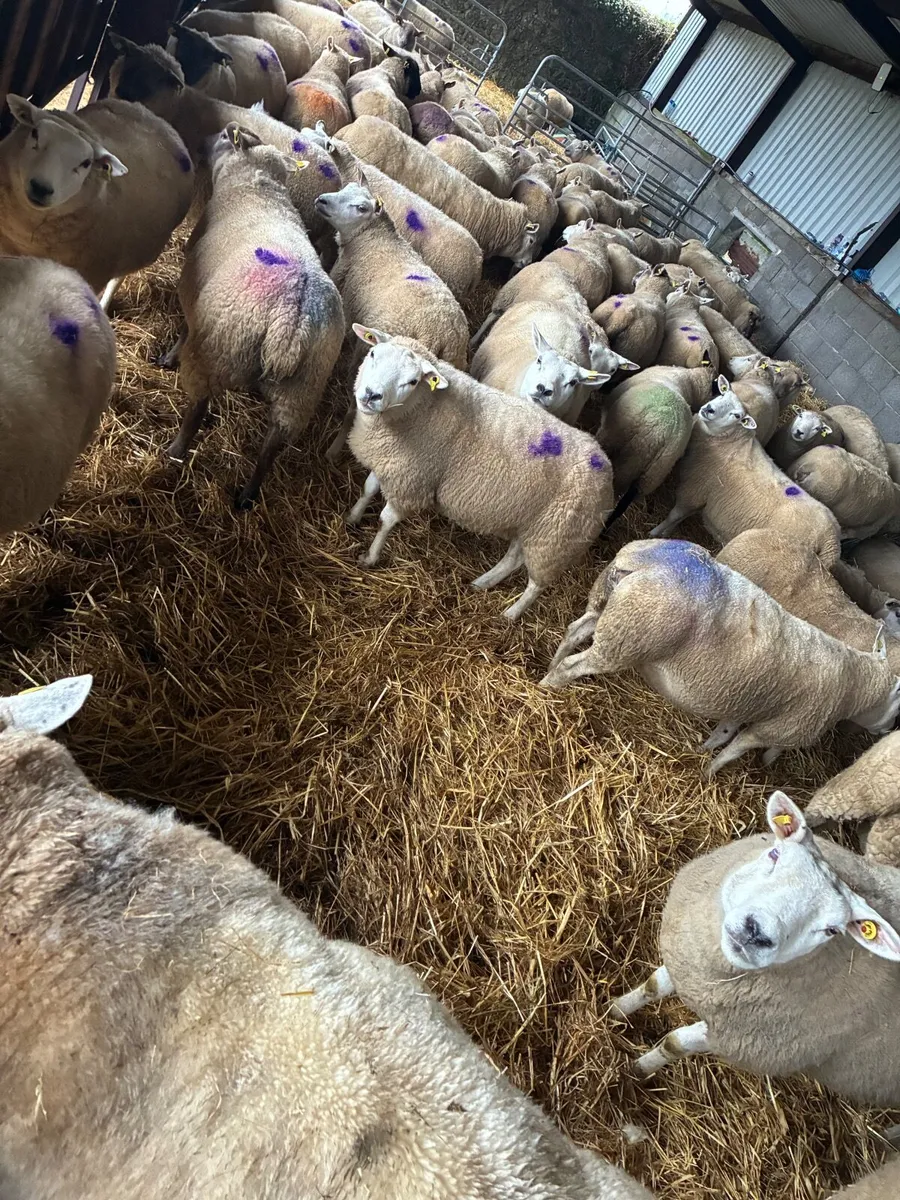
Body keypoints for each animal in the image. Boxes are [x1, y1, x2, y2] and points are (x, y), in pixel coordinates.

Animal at [167, 126, 343, 508]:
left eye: (222, 135)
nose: (200, 144)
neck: (254, 184)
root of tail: (293, 321)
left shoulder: (194, 287)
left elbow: (186, 326)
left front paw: (168, 357)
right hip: (300, 395)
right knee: (269, 452)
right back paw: (247, 497)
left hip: (217, 350)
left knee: (196, 408)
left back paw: (174, 452)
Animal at [314, 179, 468, 458]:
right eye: (345, 187)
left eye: (361, 207)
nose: (322, 200)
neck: (373, 238)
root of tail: (447, 335)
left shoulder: (340, 278)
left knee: (355, 406)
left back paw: (334, 449)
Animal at [345, 328, 614, 618]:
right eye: (373, 353)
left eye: (413, 381)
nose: (371, 395)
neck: (422, 408)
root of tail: (606, 467)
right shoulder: (391, 464)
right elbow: (368, 489)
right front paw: (352, 517)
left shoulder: (412, 482)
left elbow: (386, 520)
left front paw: (370, 557)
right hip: (535, 525)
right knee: (514, 558)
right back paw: (482, 583)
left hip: (558, 538)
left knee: (537, 584)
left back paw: (511, 614)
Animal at [610, 790, 900, 1106]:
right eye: (775, 854)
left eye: (831, 930)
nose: (755, 932)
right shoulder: (689, 963)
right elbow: (652, 986)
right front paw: (614, 1011)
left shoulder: (736, 1040)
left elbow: (673, 1044)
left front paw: (634, 1072)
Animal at [650, 382, 842, 567]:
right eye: (723, 394)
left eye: (737, 416)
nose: (709, 409)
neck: (730, 442)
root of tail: (832, 542)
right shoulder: (702, 497)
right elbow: (680, 518)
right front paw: (666, 532)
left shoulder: (694, 490)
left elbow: (673, 515)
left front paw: (655, 532)